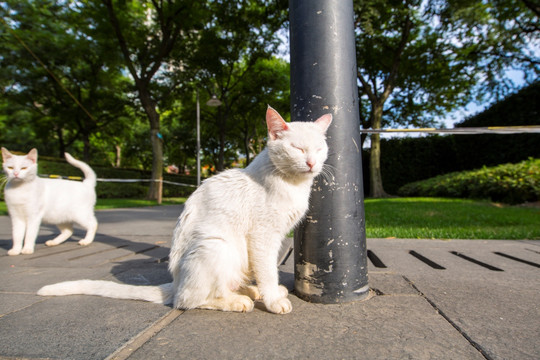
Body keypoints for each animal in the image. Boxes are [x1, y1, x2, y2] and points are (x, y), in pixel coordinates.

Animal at [38, 105, 332, 314]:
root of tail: (175, 281)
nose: (311, 163)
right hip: (216, 246)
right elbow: (268, 270)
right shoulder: (263, 237)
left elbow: (267, 270)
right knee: (189, 300)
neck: (293, 185)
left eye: (320, 148)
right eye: (297, 148)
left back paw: (248, 292)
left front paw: (270, 292)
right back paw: (238, 302)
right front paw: (273, 300)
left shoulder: (278, 236)